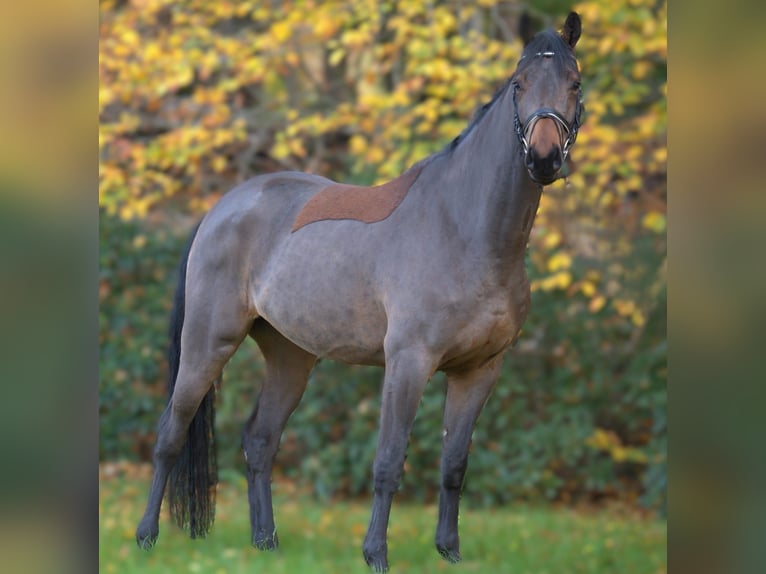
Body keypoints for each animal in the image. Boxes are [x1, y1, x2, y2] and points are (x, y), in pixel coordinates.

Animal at [136, 12, 584, 572]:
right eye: (519, 84)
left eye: (575, 83)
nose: (544, 158)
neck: (467, 230)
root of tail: (223, 208)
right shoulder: (409, 362)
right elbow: (389, 461)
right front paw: (375, 555)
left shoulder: (480, 370)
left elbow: (455, 463)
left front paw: (449, 551)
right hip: (206, 344)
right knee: (170, 434)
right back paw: (147, 537)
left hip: (291, 356)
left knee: (260, 440)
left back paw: (266, 542)